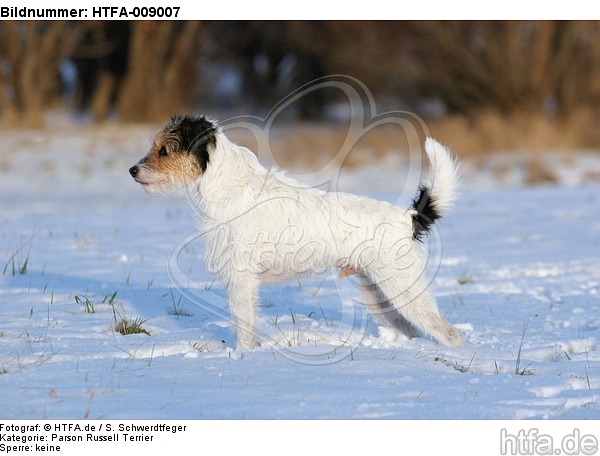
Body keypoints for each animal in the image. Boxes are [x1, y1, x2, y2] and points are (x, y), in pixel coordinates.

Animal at [129, 114, 462, 350]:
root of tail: (408, 218)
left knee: (448, 333)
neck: (228, 186)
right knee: (411, 330)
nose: (133, 170)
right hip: (379, 294)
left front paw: (242, 355)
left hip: (404, 290)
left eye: (164, 150)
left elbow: (244, 323)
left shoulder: (241, 277)